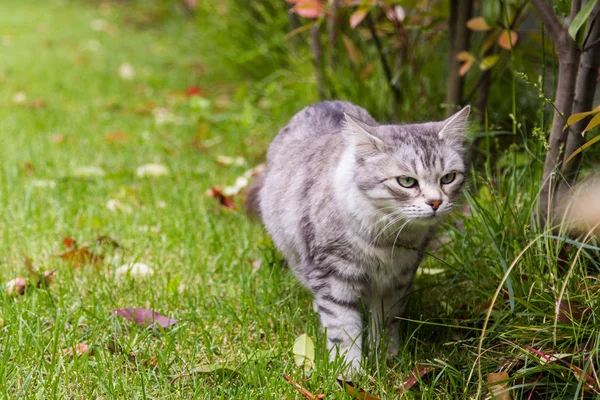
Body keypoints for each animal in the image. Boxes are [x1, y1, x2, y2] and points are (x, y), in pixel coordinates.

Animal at [247, 101, 468, 376]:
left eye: (448, 178)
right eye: (407, 181)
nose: (436, 202)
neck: (387, 240)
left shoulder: (397, 280)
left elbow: (386, 323)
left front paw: (385, 358)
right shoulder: (334, 275)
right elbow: (344, 328)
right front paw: (350, 373)